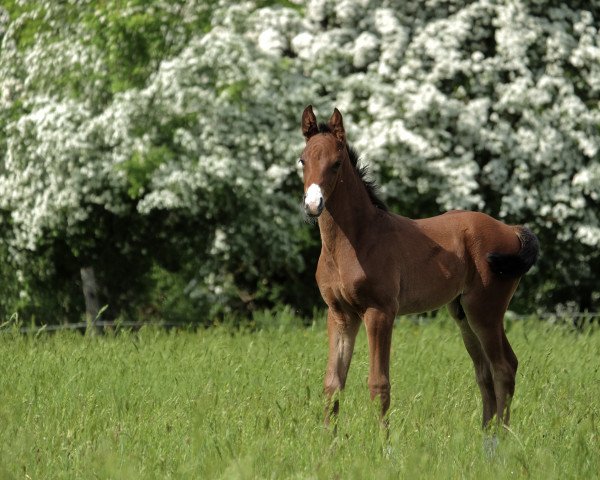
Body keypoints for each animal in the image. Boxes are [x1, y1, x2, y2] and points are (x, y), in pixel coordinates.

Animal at [300, 105, 540, 428]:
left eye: (336, 164)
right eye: (302, 160)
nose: (313, 205)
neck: (356, 240)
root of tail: (511, 229)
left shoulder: (380, 312)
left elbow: (379, 384)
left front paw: (381, 440)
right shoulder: (339, 314)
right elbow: (332, 384)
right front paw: (329, 440)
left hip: (485, 310)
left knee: (504, 366)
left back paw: (500, 435)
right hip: (462, 313)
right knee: (485, 372)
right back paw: (485, 435)